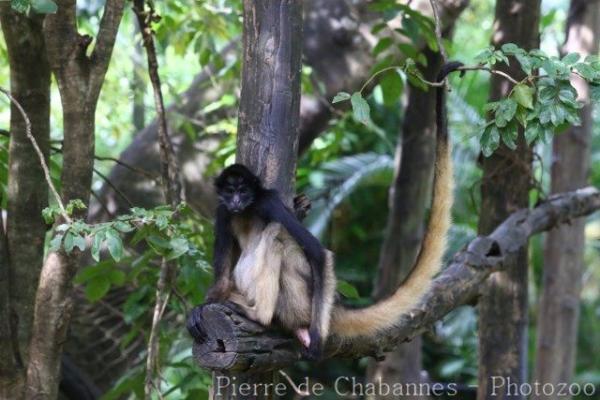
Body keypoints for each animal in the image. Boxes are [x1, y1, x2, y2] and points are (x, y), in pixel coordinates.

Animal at [190, 61, 462, 360]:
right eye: (230, 192)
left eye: (244, 191)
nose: (237, 201)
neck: (247, 211)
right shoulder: (223, 212)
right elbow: (222, 278)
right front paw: (200, 308)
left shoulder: (268, 201)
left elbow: (319, 253)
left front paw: (317, 341)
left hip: (300, 301)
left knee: (277, 237)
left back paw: (262, 316)